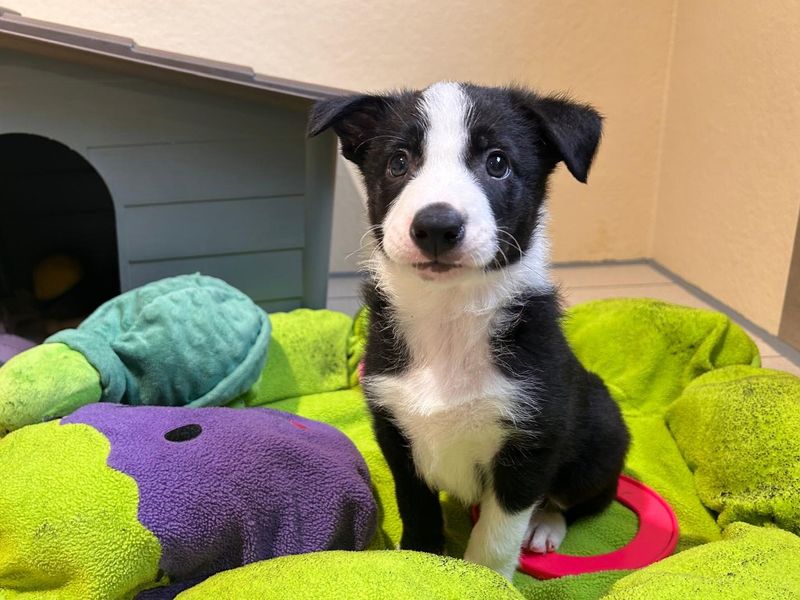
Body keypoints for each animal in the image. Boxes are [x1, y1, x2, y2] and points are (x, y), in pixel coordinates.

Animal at [308, 82, 632, 580]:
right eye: (398, 162)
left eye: (497, 162)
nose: (436, 226)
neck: (450, 315)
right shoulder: (395, 431)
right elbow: (417, 507)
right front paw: (419, 561)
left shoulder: (531, 442)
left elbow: (496, 536)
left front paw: (487, 580)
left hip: (599, 436)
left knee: (589, 498)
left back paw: (546, 524)